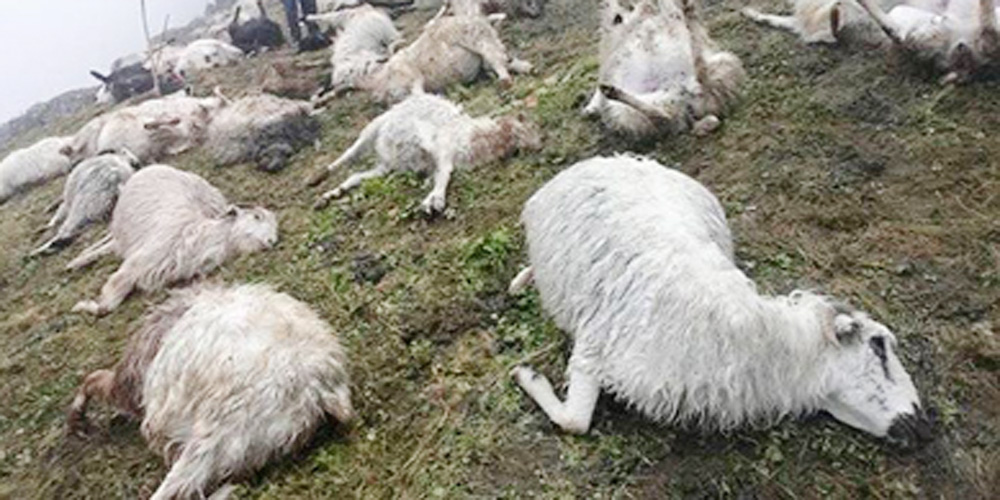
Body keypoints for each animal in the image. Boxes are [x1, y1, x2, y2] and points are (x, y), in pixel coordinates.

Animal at [67, 282, 353, 499]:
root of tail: (318, 389)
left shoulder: (132, 385)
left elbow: (93, 380)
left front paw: (77, 421)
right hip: (244, 447)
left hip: (214, 437)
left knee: (179, 487)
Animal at [68, 164, 278, 316]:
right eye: (257, 217)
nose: (272, 241)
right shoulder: (133, 267)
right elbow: (107, 305)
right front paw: (82, 306)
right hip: (123, 224)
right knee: (111, 239)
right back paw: (77, 261)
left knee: (113, 245)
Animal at [307, 90, 540, 213]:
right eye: (523, 127)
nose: (538, 146)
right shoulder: (443, 147)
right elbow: (441, 167)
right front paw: (435, 200)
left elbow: (441, 172)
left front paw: (431, 199)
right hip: (373, 128)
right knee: (349, 153)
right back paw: (317, 178)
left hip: (385, 167)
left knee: (355, 176)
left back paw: (327, 196)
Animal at [356, 12, 533, 103]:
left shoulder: (412, 78)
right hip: (485, 41)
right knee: (500, 58)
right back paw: (526, 68)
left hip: (478, 38)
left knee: (497, 57)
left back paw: (507, 80)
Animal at [509, 155, 933, 447]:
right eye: (879, 347)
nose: (922, 425)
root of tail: (613, 158)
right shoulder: (595, 345)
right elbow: (575, 422)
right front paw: (527, 375)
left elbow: (574, 421)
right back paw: (520, 280)